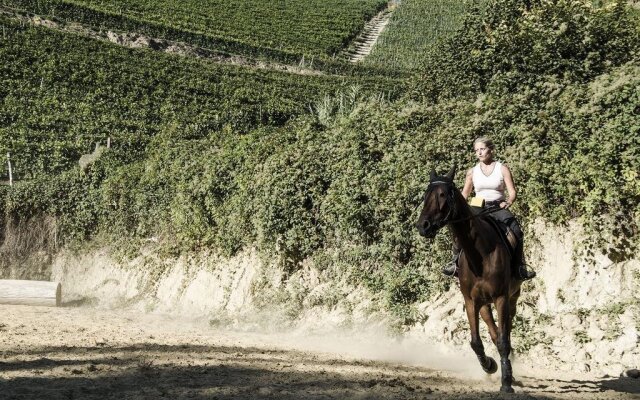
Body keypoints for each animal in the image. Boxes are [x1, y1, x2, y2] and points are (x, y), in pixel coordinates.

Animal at [416, 166, 520, 394]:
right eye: (425, 195)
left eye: (443, 195)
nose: (423, 226)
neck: (480, 253)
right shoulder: (470, 301)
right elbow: (476, 342)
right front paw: (490, 365)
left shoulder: (501, 298)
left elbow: (503, 340)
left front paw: (506, 382)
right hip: (484, 303)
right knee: (493, 331)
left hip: (512, 297)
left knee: (506, 332)